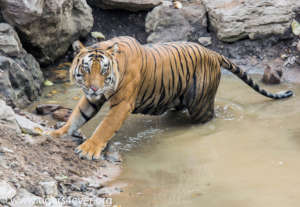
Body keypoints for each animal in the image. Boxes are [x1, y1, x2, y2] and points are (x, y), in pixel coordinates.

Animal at [49, 36, 292, 161]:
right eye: (86, 69)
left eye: (103, 70)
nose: (93, 87)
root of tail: (213, 52)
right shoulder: (92, 99)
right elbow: (76, 116)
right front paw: (56, 133)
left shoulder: (123, 104)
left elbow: (104, 127)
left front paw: (88, 149)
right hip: (175, 98)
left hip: (200, 105)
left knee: (208, 118)